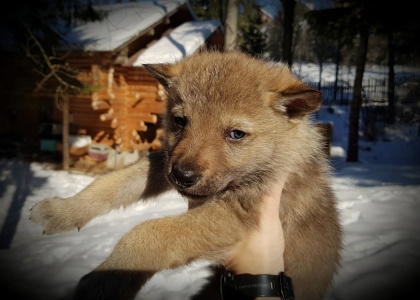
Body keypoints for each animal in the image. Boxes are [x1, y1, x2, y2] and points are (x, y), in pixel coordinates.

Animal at [32, 50, 342, 298]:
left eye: (236, 134)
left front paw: (106, 281)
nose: (182, 176)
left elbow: (148, 232)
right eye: (181, 121)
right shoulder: (163, 163)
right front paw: (62, 211)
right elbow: (111, 182)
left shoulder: (240, 214)